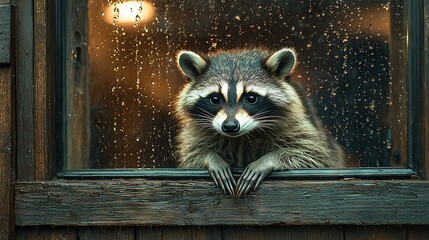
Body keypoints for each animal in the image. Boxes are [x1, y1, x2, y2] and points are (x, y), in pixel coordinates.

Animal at [172, 47, 342, 198]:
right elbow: (193, 155)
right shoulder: (197, 132)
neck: (240, 137)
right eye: (214, 99)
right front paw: (212, 158)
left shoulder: (297, 124)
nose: (230, 126)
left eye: (251, 98)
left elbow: (311, 155)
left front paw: (268, 160)